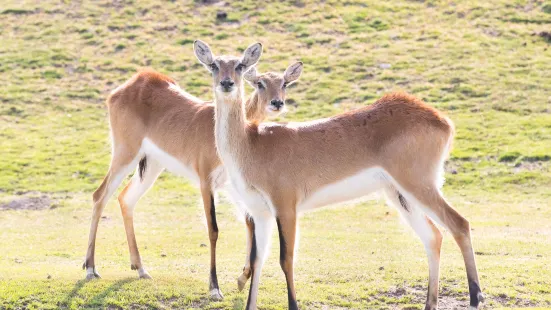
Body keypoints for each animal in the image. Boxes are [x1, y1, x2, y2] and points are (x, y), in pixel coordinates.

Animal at [84, 62, 304, 298]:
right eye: (260, 83)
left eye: (284, 83)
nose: (277, 103)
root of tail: (135, 82)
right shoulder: (205, 181)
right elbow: (214, 229)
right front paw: (215, 287)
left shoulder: (232, 186)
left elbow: (250, 223)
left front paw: (243, 278)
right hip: (126, 153)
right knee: (99, 195)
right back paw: (90, 269)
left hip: (152, 165)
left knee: (126, 199)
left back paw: (140, 269)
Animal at [195, 39, 488, 310]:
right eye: (214, 65)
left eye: (240, 66)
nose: (226, 84)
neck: (251, 144)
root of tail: (440, 119)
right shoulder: (260, 212)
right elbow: (258, 260)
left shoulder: (286, 207)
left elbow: (285, 259)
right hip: (400, 195)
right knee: (433, 236)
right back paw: (431, 303)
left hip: (418, 185)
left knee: (459, 224)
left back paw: (476, 298)